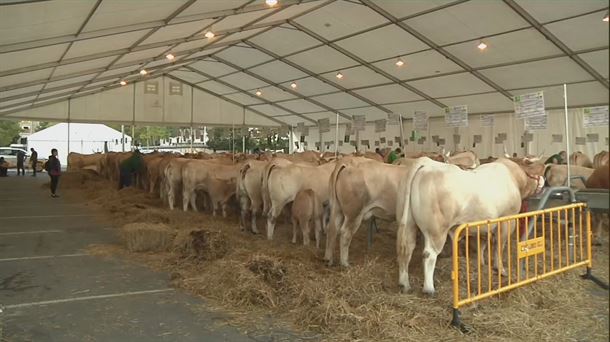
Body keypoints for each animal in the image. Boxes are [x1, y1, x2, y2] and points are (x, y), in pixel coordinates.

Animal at [392, 156, 544, 292]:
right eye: (538, 169)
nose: (543, 181)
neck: (514, 176)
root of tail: (426, 163)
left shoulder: (484, 225)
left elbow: (482, 245)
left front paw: (482, 263)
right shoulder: (507, 220)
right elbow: (499, 247)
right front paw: (500, 270)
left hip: (408, 222)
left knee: (406, 249)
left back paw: (404, 284)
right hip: (436, 230)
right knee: (429, 255)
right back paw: (429, 289)